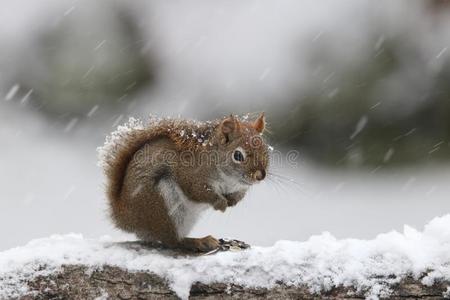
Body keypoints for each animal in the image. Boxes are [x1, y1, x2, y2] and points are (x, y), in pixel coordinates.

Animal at [99, 113, 268, 252]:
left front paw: (232, 201)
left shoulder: (239, 187)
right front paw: (220, 203)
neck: (229, 179)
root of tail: (124, 217)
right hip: (163, 205)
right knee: (172, 241)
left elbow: (238, 194)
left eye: (266, 150)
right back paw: (199, 242)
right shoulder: (190, 175)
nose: (260, 176)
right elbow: (198, 191)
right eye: (238, 155)